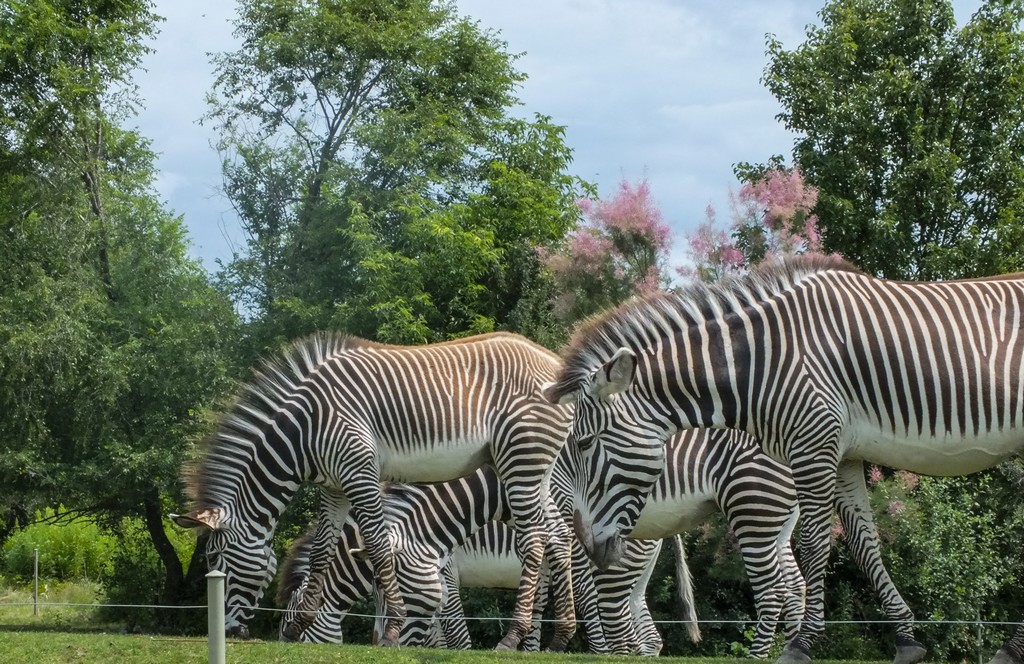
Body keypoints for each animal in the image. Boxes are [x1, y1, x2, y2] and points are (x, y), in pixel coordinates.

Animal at [169, 332, 576, 649]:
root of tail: (554, 364)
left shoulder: (360, 473)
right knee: (558, 534)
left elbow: (377, 543)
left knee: (535, 539)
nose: (225, 631)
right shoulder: (333, 487)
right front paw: (301, 623)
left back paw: (513, 635)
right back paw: (562, 635)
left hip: (521, 459)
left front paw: (393, 624)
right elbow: (321, 553)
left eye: (214, 559)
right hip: (533, 469)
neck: (305, 430)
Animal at [542, 254, 1024, 664]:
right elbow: (864, 545)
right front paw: (906, 639)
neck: (761, 360)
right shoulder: (843, 453)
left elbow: (813, 548)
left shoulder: (813, 444)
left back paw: (1010, 649)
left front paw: (802, 644)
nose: (588, 546)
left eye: (584, 443)